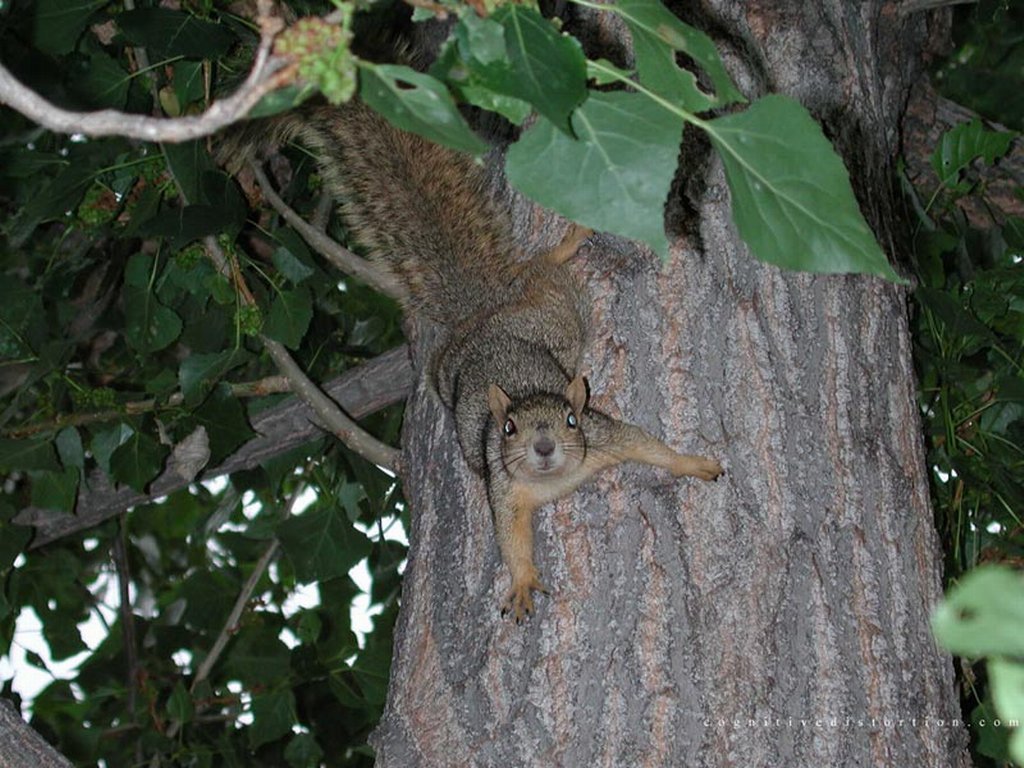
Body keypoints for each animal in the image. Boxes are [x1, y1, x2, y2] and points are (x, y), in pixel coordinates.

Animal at [221, 102, 724, 622]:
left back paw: (567, 244)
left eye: (570, 420)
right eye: (508, 429)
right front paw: (521, 583)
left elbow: (645, 444)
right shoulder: (505, 493)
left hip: (555, 313)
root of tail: (481, 312)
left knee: (542, 268)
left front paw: (694, 463)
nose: (544, 447)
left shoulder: (602, 437)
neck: (554, 481)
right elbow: (511, 540)